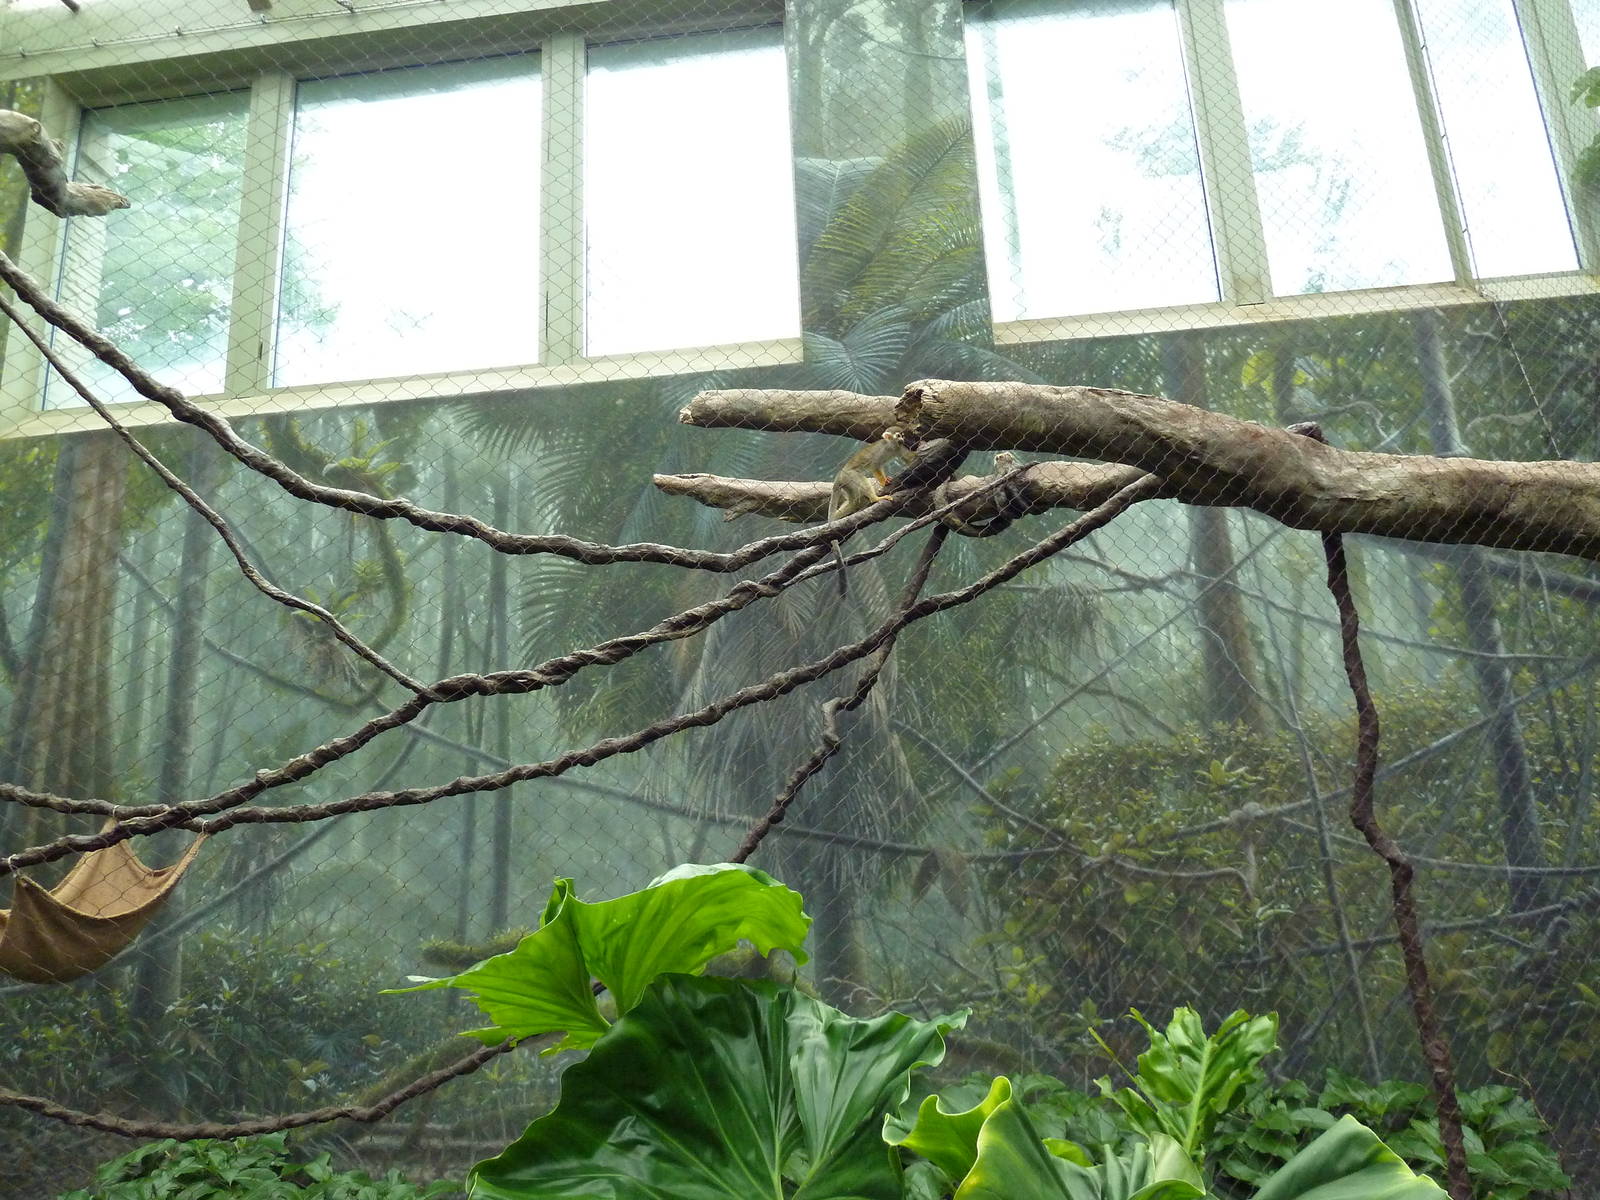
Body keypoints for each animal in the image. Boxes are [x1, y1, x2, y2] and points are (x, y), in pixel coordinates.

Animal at [826, 427, 916, 595]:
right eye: (898, 435)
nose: (903, 438)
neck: (891, 446)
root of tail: (839, 476)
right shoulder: (882, 451)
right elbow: (875, 466)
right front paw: (884, 481)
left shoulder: (899, 448)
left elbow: (910, 459)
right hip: (851, 477)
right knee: (862, 482)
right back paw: (875, 499)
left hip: (848, 485)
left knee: (855, 501)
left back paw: (838, 518)